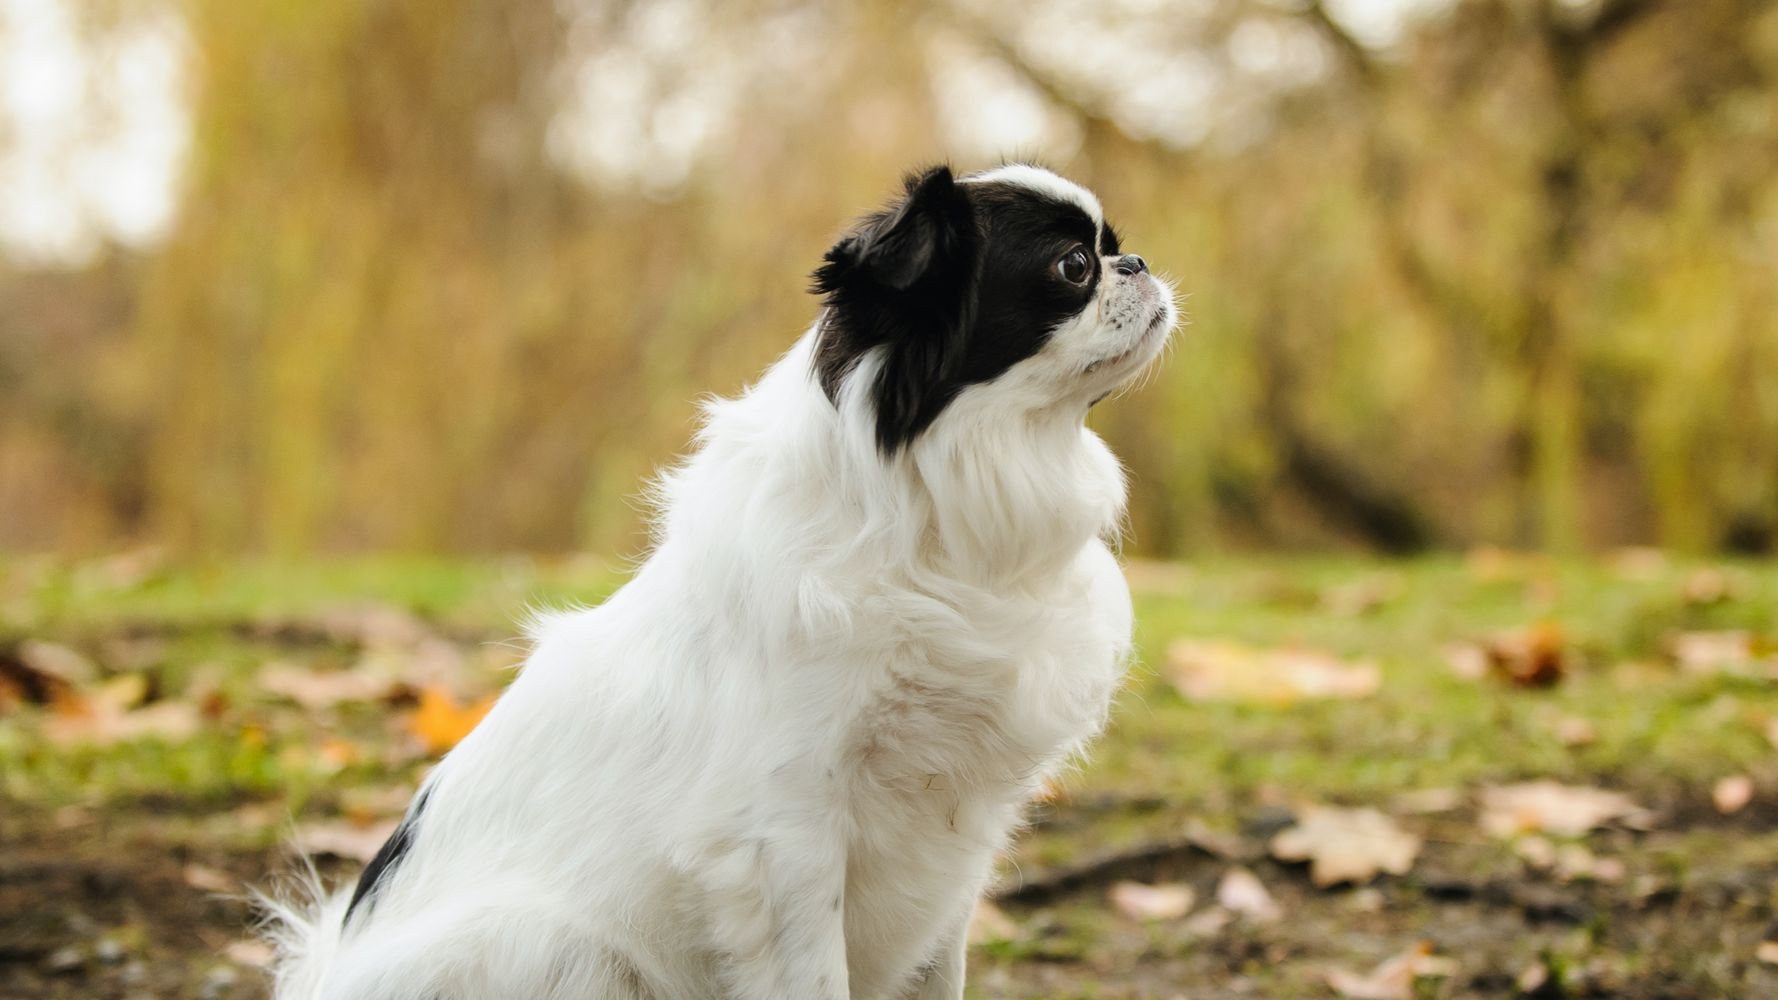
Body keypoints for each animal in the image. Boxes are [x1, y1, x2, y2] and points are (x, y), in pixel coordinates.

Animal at [263, 159, 1180, 989]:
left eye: (1113, 249)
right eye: (1074, 267)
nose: (1137, 263)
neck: (944, 524)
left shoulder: (956, 834)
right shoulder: (787, 835)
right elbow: (816, 978)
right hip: (552, 943)